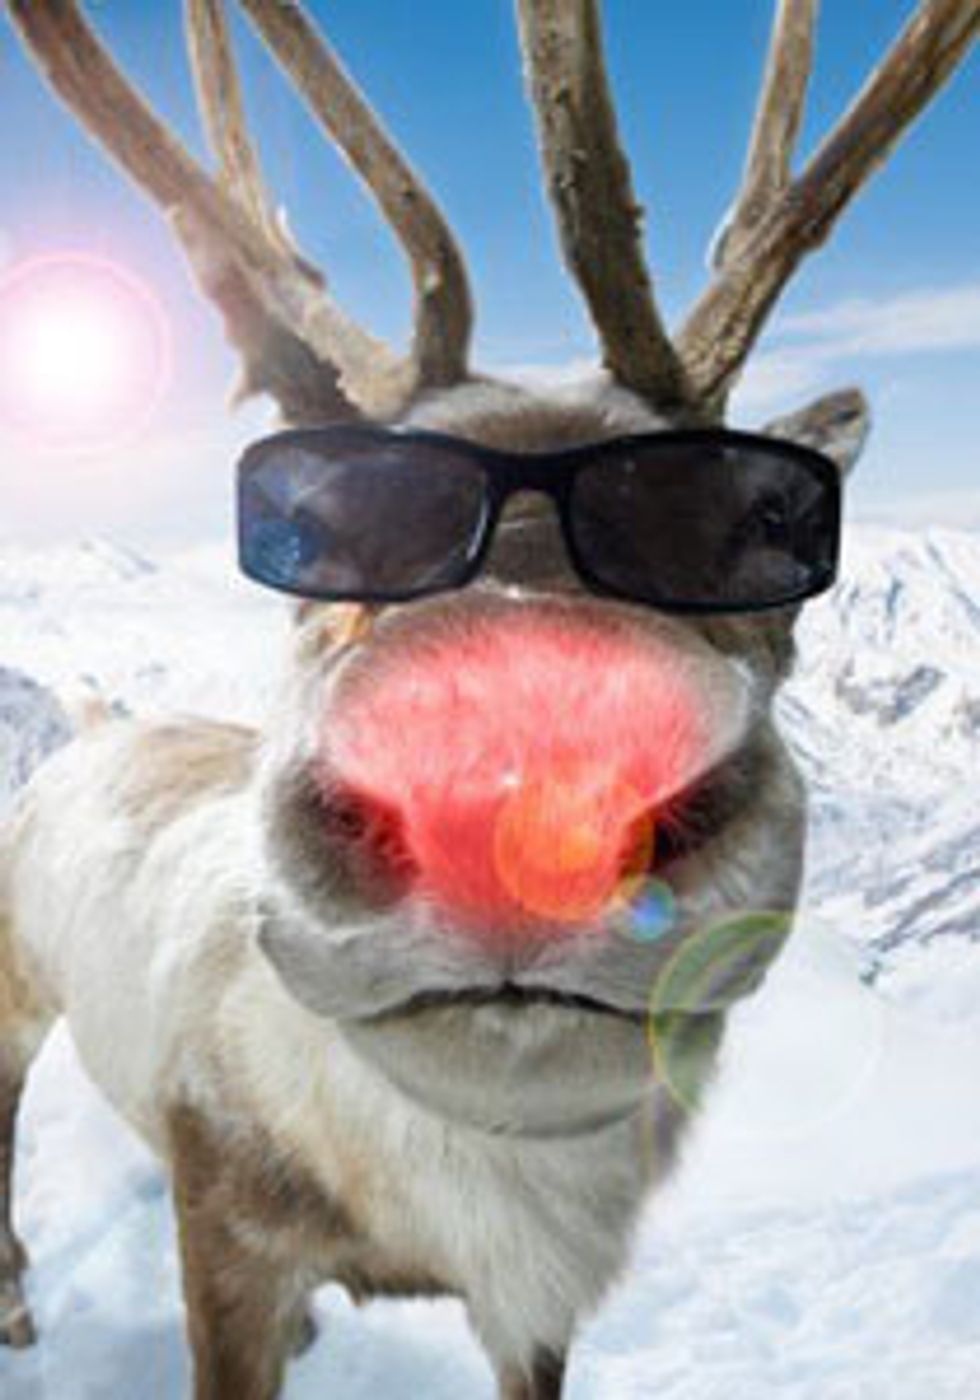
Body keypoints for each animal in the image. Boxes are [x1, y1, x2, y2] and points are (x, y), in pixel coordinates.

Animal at [1, 2, 977, 1397]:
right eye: (320, 533)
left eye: (754, 525)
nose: (520, 797)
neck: (461, 1196)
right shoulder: (228, 1234)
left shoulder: (539, 1307)